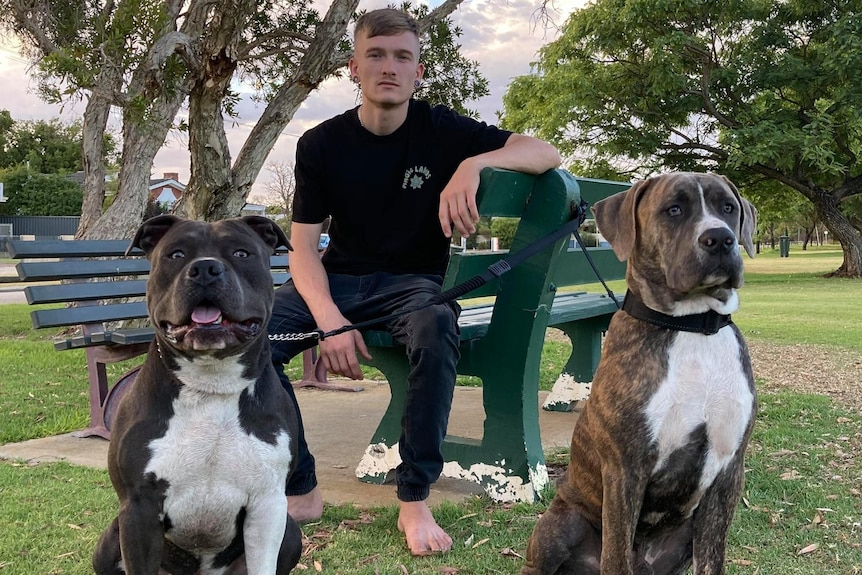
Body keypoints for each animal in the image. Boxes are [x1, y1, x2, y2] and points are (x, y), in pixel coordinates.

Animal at [93, 216, 304, 575]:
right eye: (176, 254)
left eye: (241, 253)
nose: (205, 268)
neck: (212, 384)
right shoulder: (138, 508)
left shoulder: (268, 505)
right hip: (110, 538)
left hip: (291, 530)